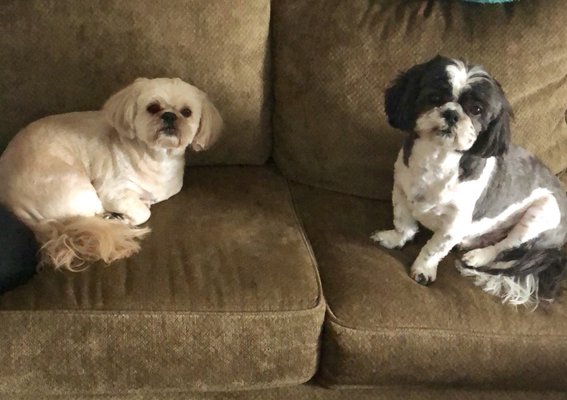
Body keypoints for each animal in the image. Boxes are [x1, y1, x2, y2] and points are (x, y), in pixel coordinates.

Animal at [0, 77, 222, 271]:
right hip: (80, 190)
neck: (157, 158)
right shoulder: (113, 192)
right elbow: (143, 213)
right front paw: (125, 217)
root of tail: (14, 205)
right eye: (152, 107)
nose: (169, 115)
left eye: (186, 112)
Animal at [371, 56, 567, 306]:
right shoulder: (400, 192)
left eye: (476, 109)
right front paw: (394, 239)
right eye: (435, 97)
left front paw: (423, 270)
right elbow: (404, 223)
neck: (436, 158)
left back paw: (477, 256)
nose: (452, 113)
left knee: (504, 246)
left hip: (540, 215)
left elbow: (434, 248)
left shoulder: (453, 224)